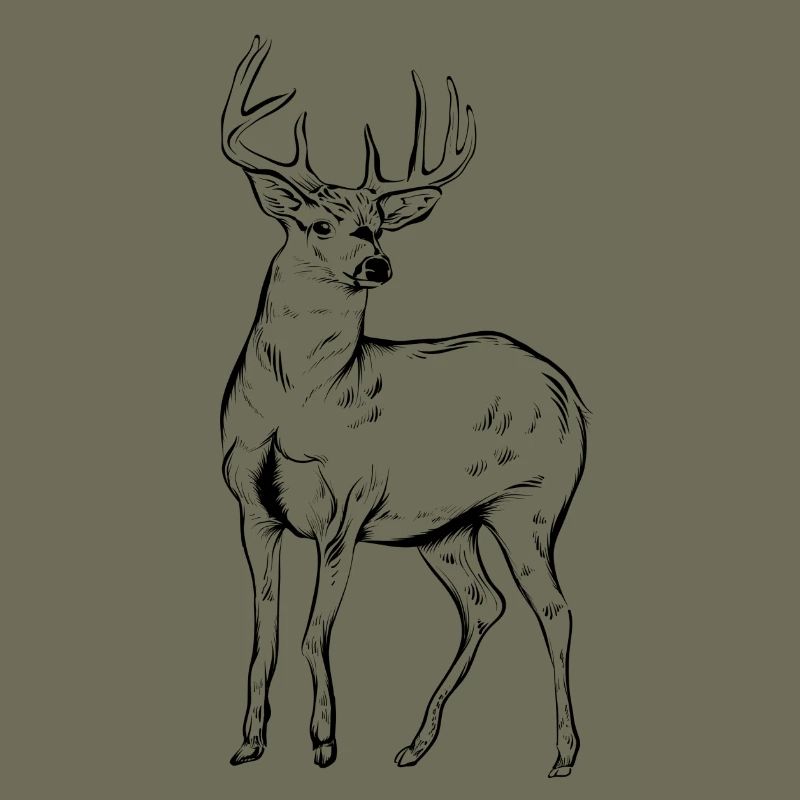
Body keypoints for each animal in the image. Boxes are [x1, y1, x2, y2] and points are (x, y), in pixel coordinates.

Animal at [219, 36, 589, 778]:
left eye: (379, 225)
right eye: (320, 222)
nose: (377, 265)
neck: (295, 406)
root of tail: (570, 393)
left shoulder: (347, 505)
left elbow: (312, 633)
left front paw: (324, 743)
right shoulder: (252, 509)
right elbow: (265, 635)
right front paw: (249, 743)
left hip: (532, 505)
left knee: (555, 610)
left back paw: (563, 754)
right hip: (445, 528)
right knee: (485, 604)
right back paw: (415, 745)